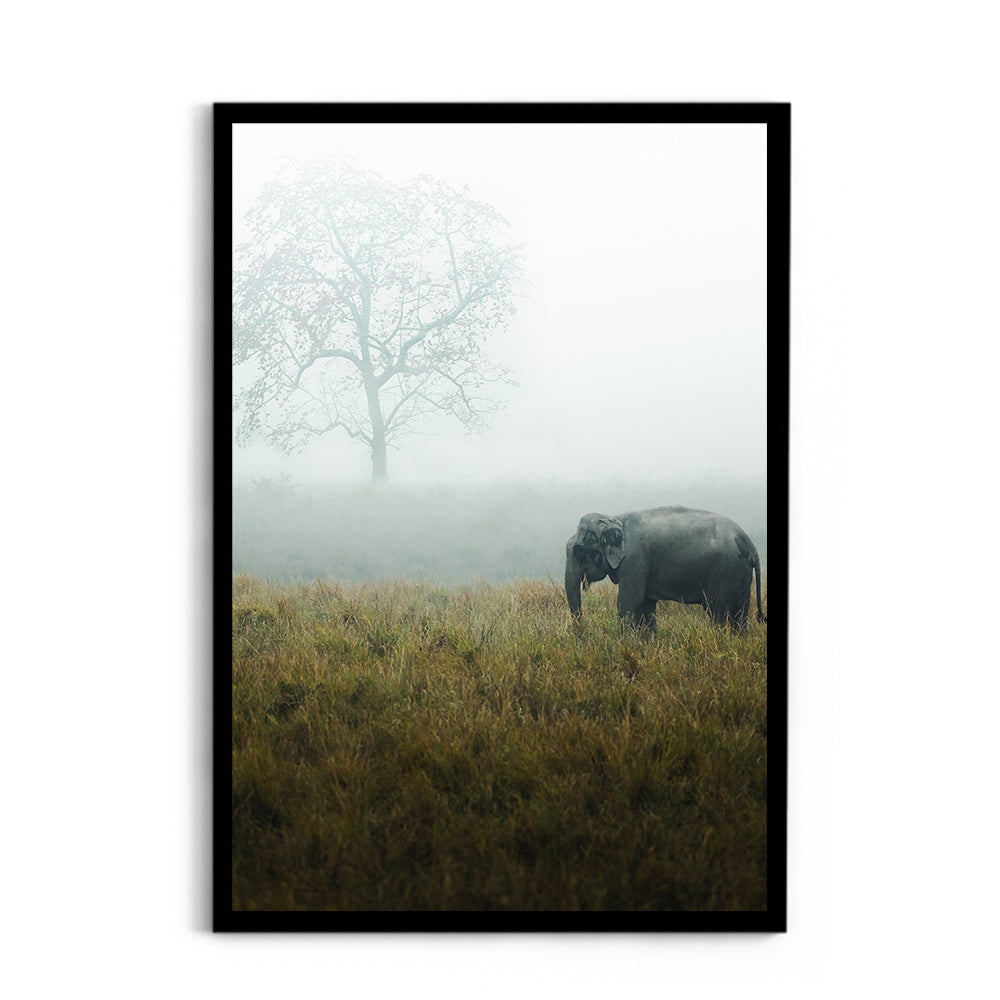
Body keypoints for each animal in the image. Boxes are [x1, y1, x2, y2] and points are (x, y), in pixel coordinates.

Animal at [565, 506, 765, 632]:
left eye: (578, 551)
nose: (582, 632)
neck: (615, 518)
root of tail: (746, 539)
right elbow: (645, 604)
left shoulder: (635, 559)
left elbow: (628, 601)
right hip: (741, 573)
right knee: (740, 615)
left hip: (725, 571)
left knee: (719, 612)